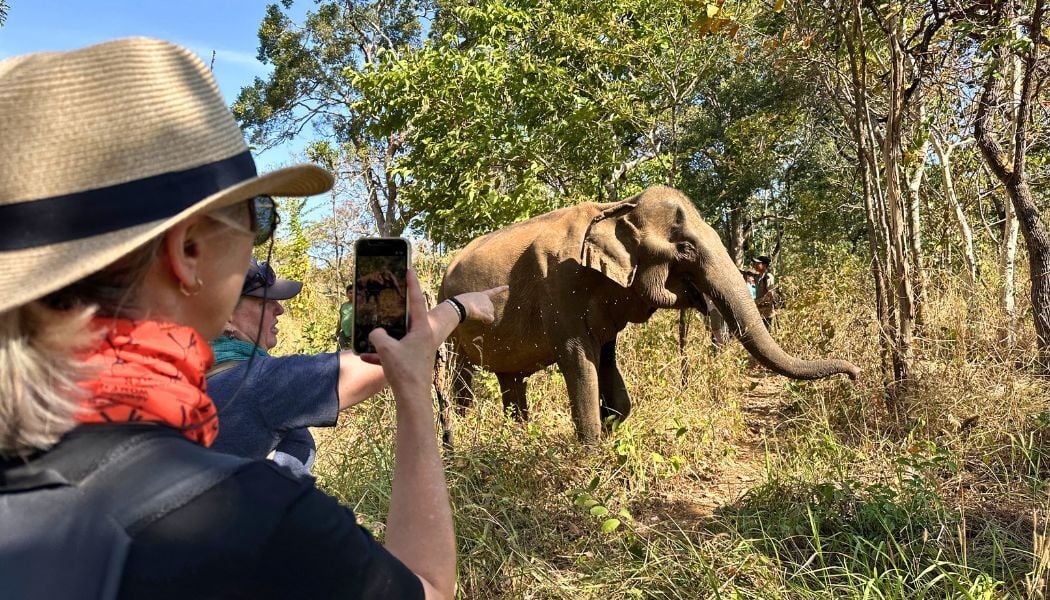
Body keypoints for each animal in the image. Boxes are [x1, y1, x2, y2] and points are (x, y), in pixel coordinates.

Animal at [438, 185, 861, 443]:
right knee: (462, 379)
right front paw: (592, 452)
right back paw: (465, 432)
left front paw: (612, 427)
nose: (855, 373)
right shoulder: (559, 285)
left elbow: (606, 360)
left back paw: (520, 436)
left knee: (511, 380)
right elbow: (578, 359)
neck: (613, 210)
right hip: (453, 325)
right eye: (686, 249)